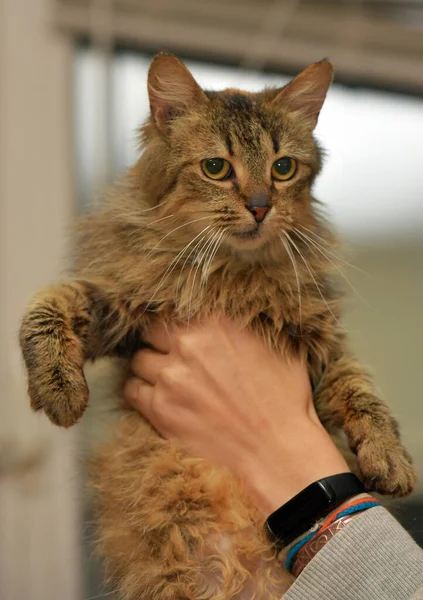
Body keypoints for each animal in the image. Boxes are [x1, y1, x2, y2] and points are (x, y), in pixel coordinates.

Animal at [19, 54, 418, 596]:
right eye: (216, 168)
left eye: (282, 168)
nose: (260, 206)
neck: (231, 277)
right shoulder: (123, 308)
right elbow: (49, 304)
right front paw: (59, 390)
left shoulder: (318, 342)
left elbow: (361, 389)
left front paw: (390, 459)